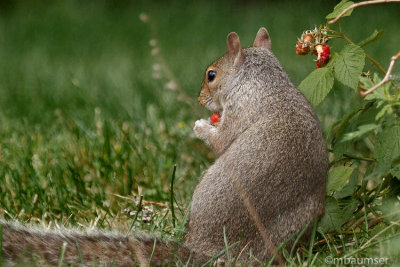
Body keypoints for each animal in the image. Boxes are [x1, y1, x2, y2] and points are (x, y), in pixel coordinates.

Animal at [0, 27, 326, 266]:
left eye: (212, 75)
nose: (200, 99)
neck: (265, 82)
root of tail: (213, 250)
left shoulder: (240, 109)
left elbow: (221, 140)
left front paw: (200, 126)